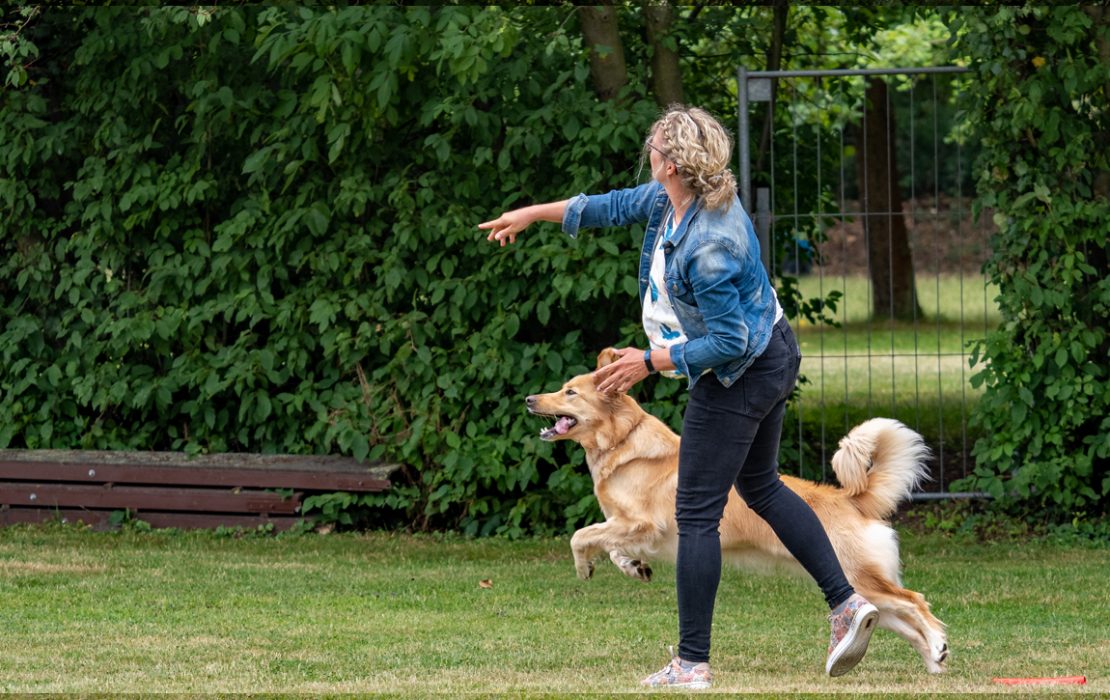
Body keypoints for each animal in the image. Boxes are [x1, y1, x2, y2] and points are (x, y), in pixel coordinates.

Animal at [523, 350, 950, 674]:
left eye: (570, 392)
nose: (529, 399)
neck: (621, 441)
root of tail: (850, 499)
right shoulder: (627, 526)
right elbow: (610, 544)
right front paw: (633, 567)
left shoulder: (642, 523)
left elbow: (581, 535)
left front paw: (584, 566)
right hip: (860, 590)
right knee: (901, 621)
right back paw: (934, 659)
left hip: (862, 577)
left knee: (916, 601)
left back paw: (938, 645)